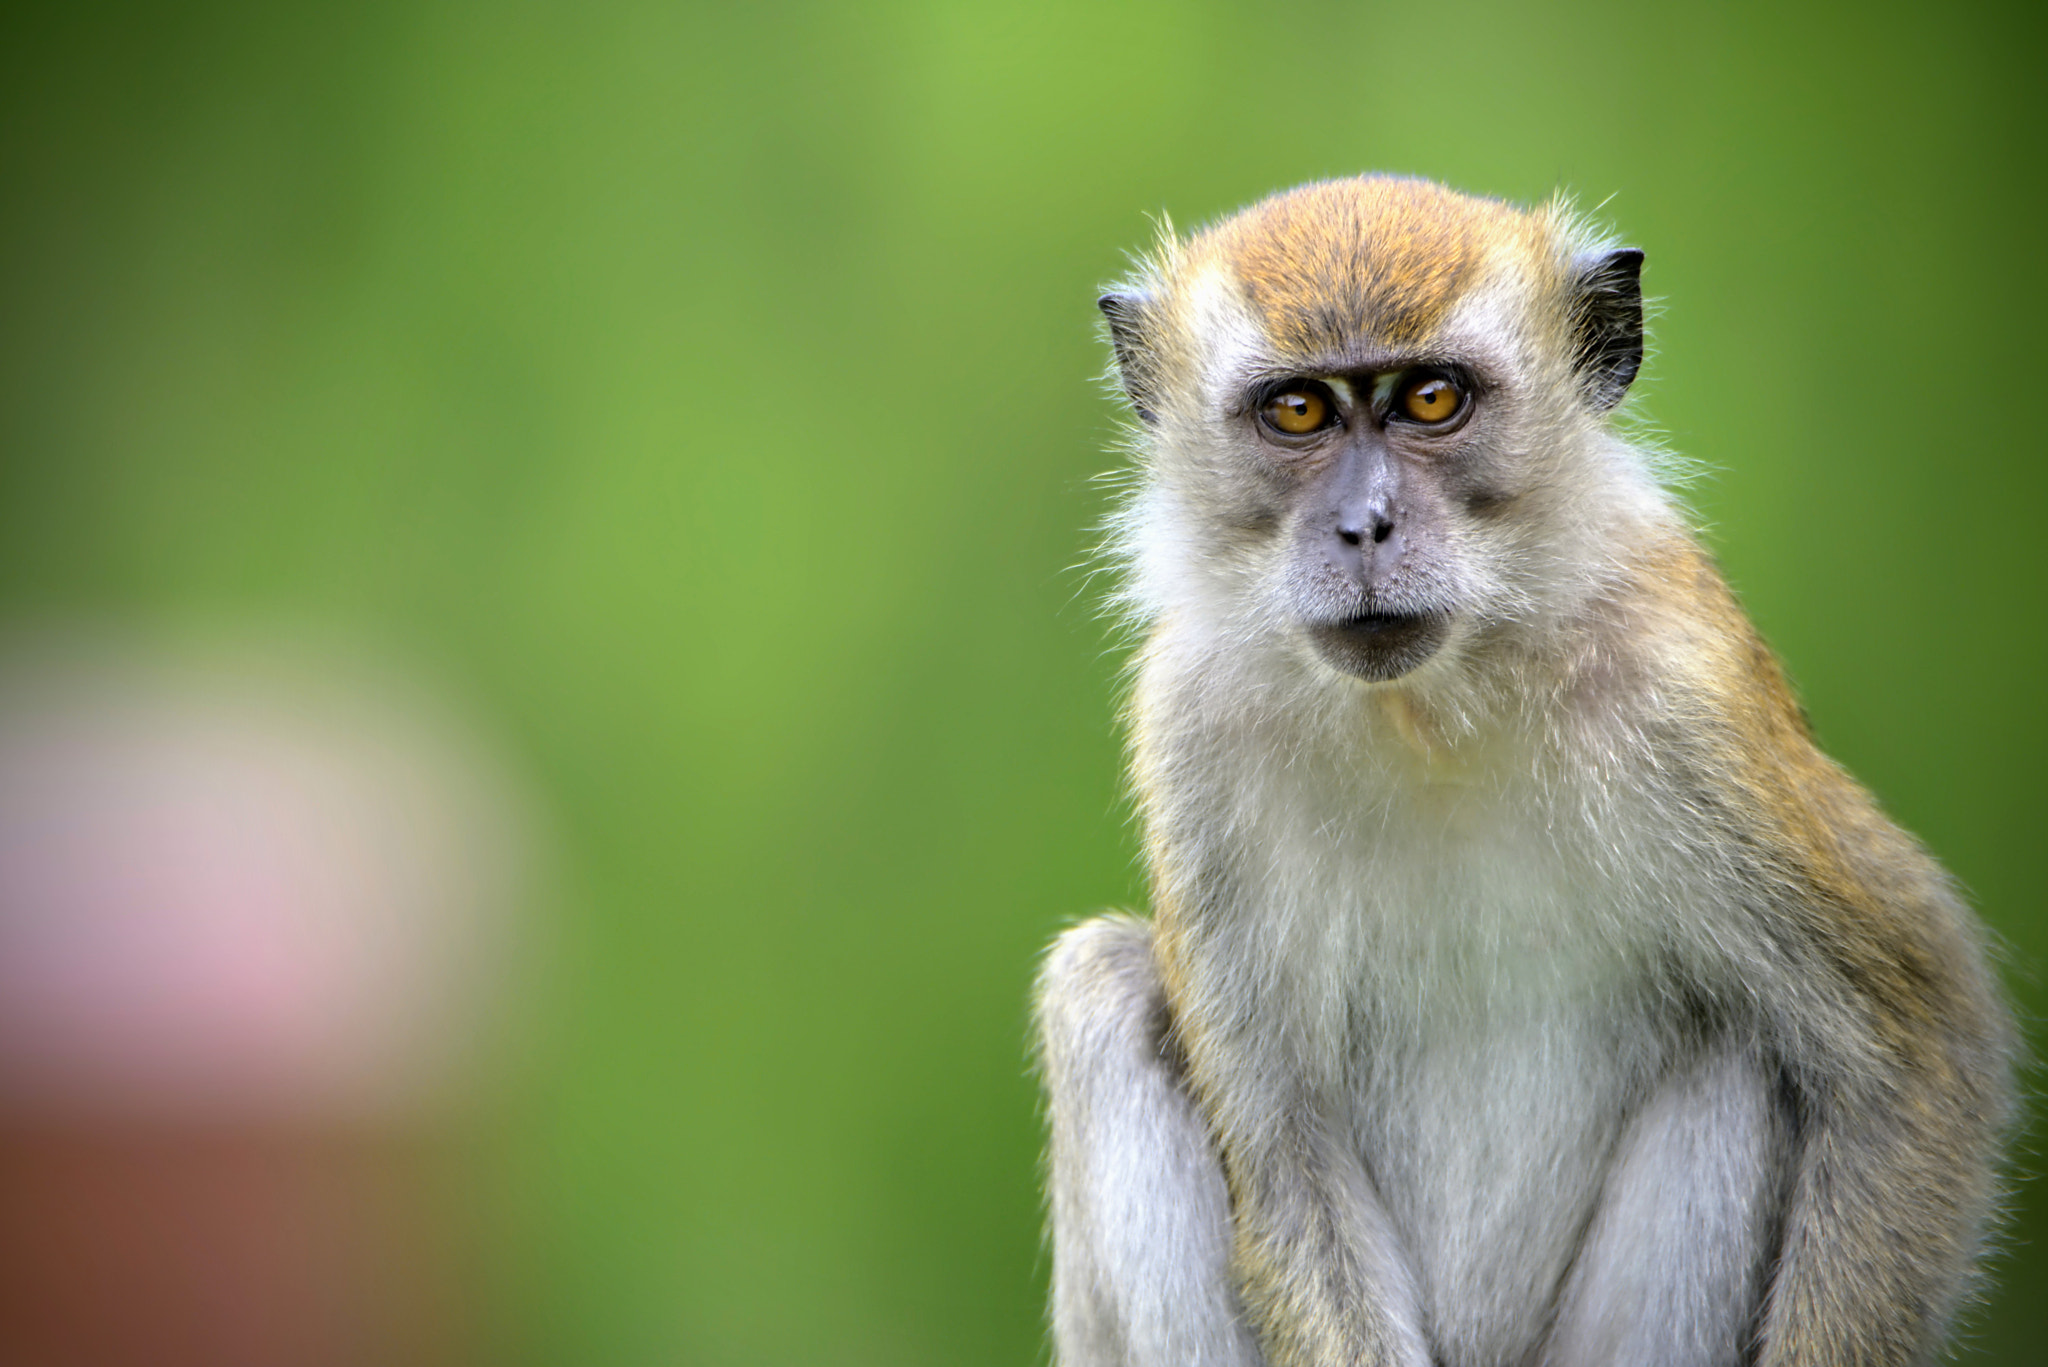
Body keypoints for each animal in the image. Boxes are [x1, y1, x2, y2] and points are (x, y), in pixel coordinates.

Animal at [1033, 176, 2014, 1367]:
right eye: (1299, 412)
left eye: (1431, 398)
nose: (1364, 525)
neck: (1433, 706)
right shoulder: (1190, 727)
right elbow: (1284, 1155)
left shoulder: (1686, 695)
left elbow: (1921, 1046)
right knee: (1102, 983)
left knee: (1739, 1043)